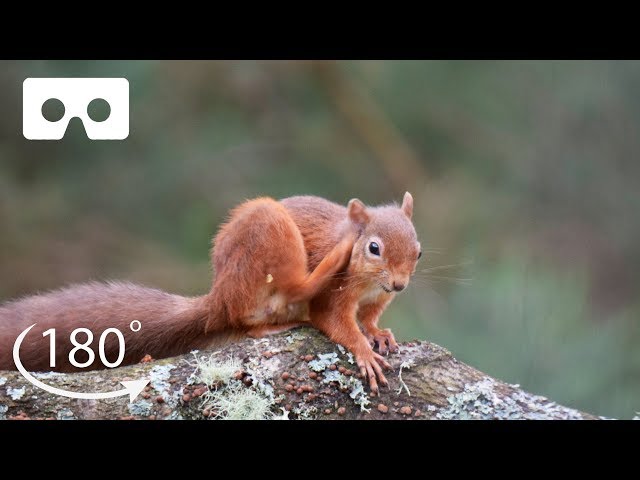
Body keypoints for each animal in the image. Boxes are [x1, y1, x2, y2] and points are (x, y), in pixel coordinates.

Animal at [1, 193, 420, 392]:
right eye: (374, 248)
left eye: (418, 251)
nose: (401, 285)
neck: (371, 285)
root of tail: (217, 300)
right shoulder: (335, 296)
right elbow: (333, 320)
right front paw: (364, 351)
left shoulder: (377, 299)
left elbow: (369, 318)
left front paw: (379, 334)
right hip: (266, 235)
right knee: (261, 309)